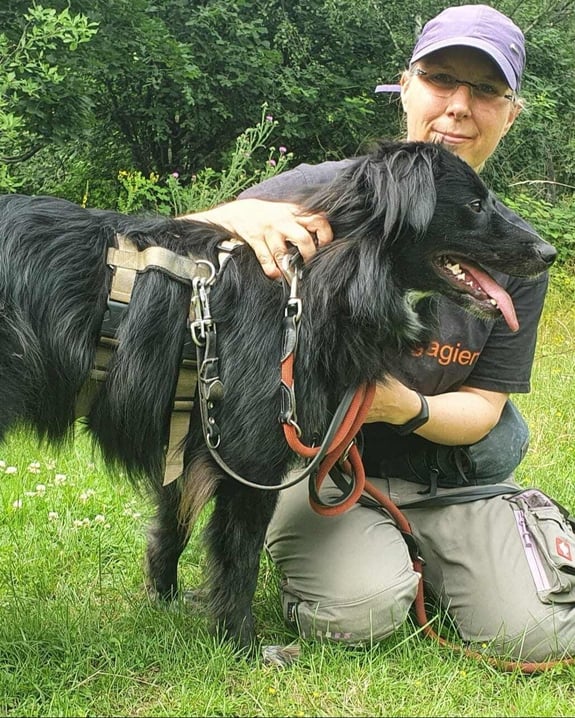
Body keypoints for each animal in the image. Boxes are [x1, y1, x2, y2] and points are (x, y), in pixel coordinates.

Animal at [0, 141, 560, 660]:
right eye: (475, 204)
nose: (550, 253)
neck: (327, 278)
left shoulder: (190, 435)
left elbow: (171, 525)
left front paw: (166, 601)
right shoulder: (252, 463)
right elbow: (239, 560)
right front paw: (243, 647)